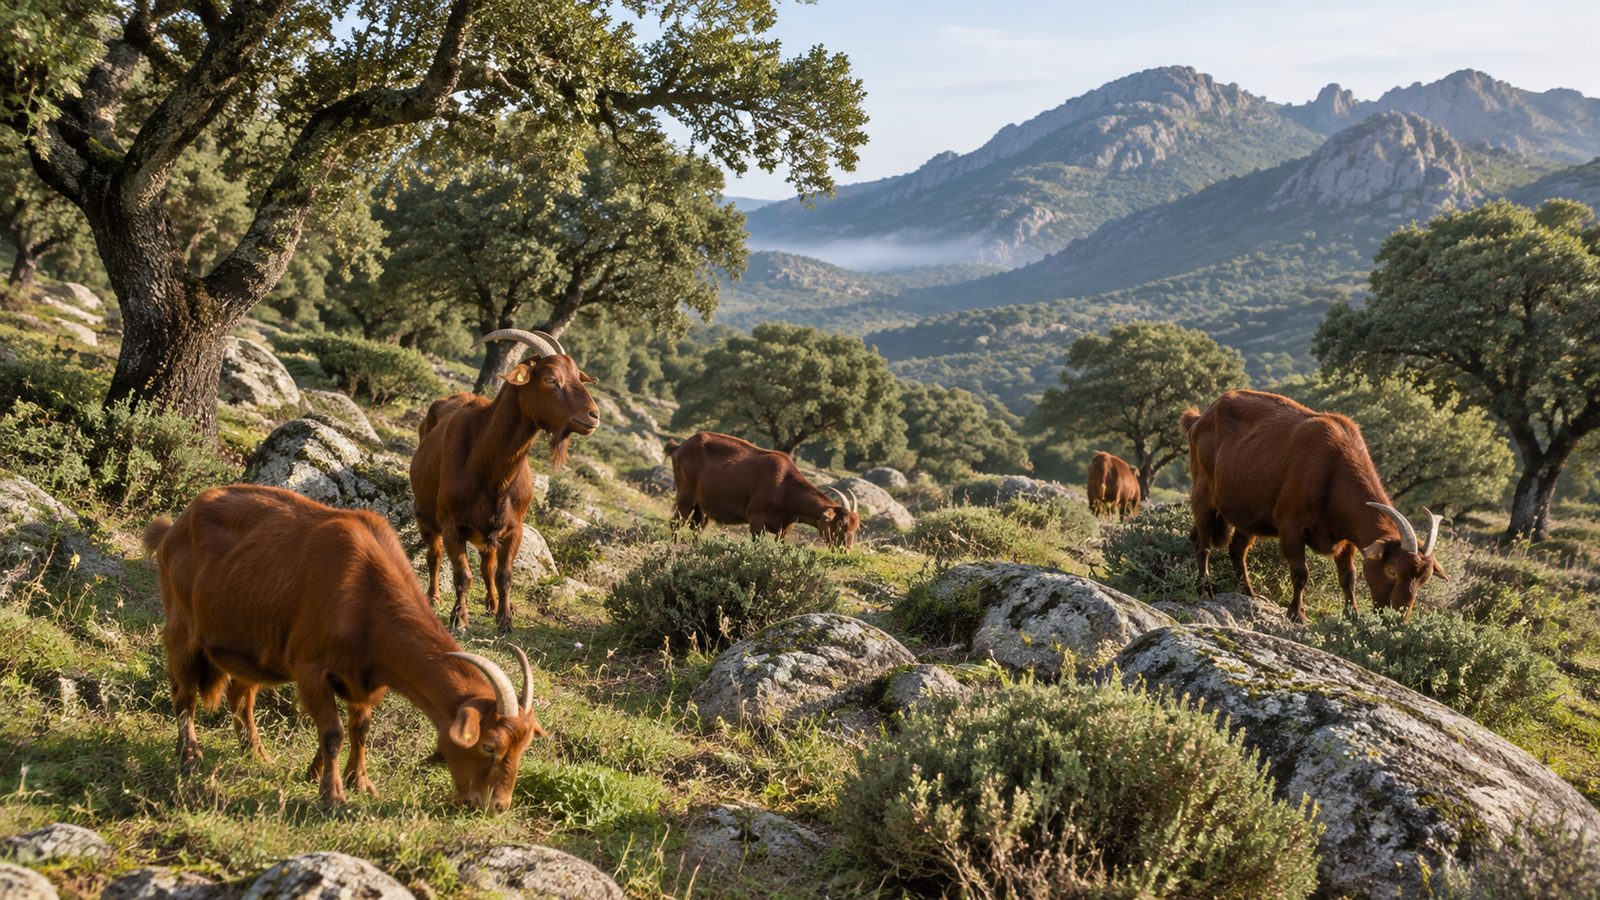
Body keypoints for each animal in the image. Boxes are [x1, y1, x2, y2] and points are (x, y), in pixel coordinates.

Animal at [145, 484, 546, 811]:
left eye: (524, 748)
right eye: (490, 745)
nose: (497, 806)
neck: (365, 594)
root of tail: (174, 526)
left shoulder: (368, 680)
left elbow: (360, 729)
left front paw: (356, 781)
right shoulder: (310, 669)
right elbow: (333, 733)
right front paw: (333, 794)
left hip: (249, 647)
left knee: (241, 698)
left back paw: (256, 753)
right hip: (182, 629)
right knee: (184, 694)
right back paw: (190, 756)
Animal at [411, 329, 599, 632]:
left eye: (577, 377)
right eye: (550, 379)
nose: (594, 415)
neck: (492, 473)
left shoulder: (513, 529)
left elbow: (504, 574)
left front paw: (505, 620)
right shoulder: (452, 526)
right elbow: (462, 574)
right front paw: (459, 619)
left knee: (487, 564)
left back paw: (493, 602)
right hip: (425, 517)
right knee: (434, 555)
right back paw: (434, 596)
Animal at [668, 431, 861, 548]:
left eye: (856, 527)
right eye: (841, 524)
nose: (846, 549)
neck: (785, 487)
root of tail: (679, 447)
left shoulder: (785, 527)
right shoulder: (756, 518)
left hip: (702, 505)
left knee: (697, 526)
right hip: (686, 494)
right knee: (676, 522)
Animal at [1183, 389, 1446, 622]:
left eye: (1423, 580)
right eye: (1392, 570)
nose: (1397, 620)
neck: (1334, 470)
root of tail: (1199, 419)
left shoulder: (1346, 539)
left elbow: (1348, 577)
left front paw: (1353, 615)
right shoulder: (1291, 525)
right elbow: (1301, 572)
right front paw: (1297, 614)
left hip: (1248, 512)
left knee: (1236, 548)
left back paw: (1248, 591)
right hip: (1204, 495)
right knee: (1202, 545)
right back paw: (1205, 589)